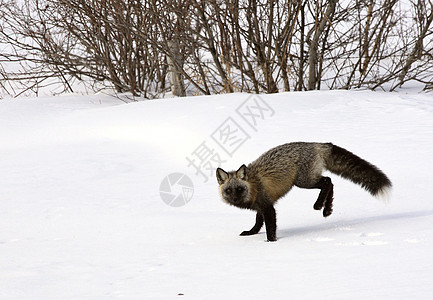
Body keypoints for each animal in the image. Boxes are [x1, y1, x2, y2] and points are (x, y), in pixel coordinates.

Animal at [216, 142, 392, 241]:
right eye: (229, 190)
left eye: (240, 189)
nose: (235, 200)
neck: (253, 186)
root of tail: (316, 143)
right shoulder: (262, 206)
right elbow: (258, 223)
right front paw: (251, 233)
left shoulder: (268, 207)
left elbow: (270, 229)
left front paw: (271, 243)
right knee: (330, 182)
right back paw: (327, 209)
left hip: (303, 182)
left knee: (328, 181)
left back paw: (319, 205)